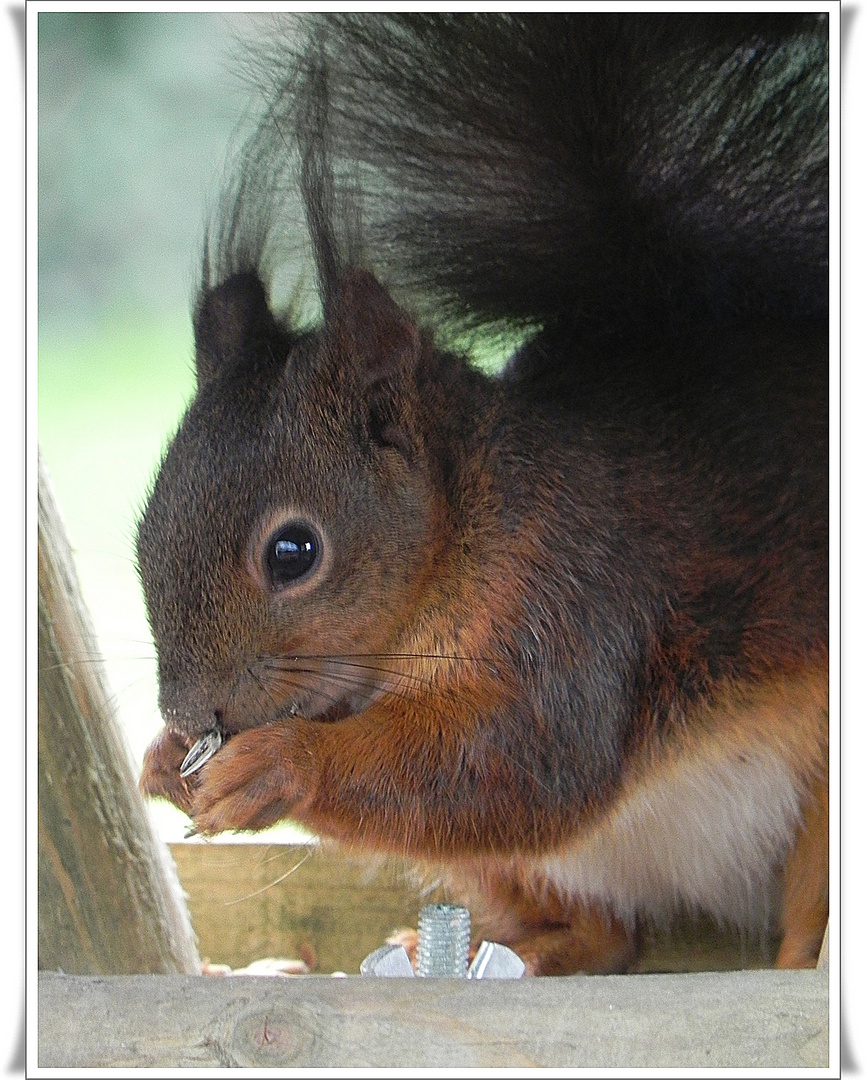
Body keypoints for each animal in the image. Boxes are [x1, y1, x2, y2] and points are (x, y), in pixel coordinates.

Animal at [139, 12, 829, 976]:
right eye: (144, 531)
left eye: (293, 552)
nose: (187, 712)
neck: (466, 524)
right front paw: (161, 762)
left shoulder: (578, 604)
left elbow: (519, 760)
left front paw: (280, 765)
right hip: (518, 872)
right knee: (606, 935)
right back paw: (508, 950)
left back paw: (810, 957)